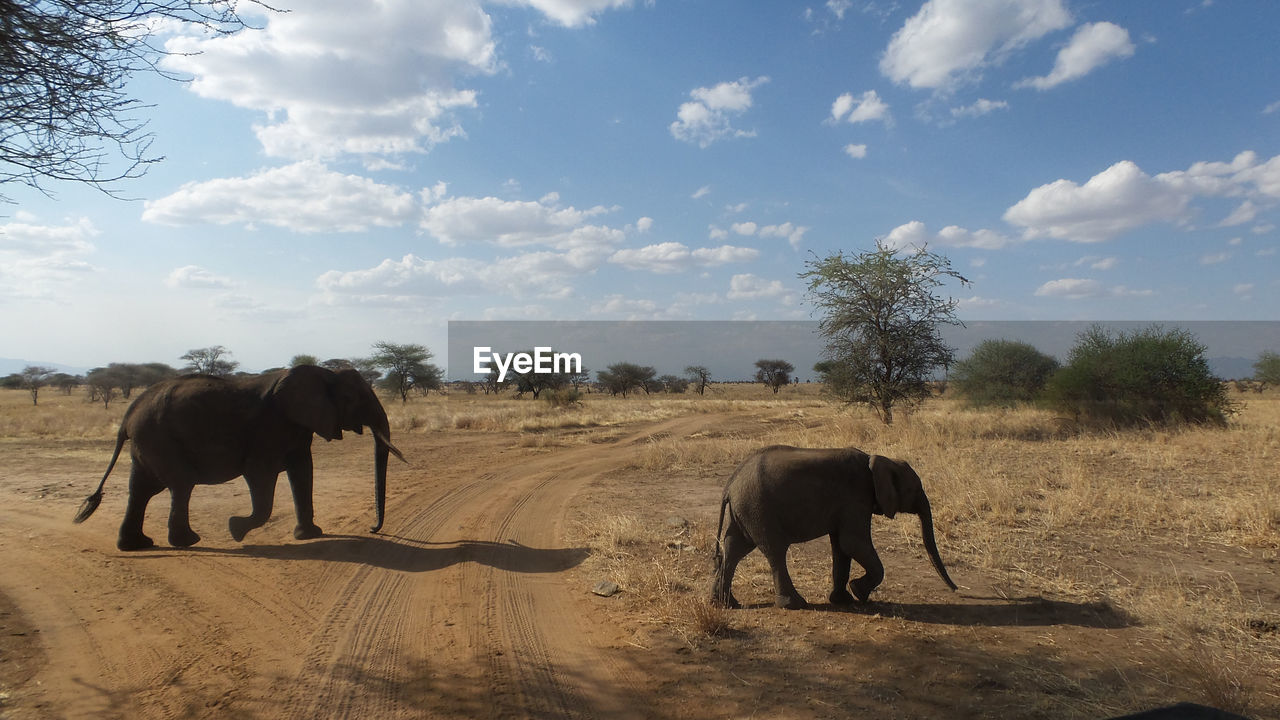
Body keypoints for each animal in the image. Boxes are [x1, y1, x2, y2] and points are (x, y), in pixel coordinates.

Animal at [74, 363, 404, 548]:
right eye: (355, 398)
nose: (372, 529)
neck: (323, 373)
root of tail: (128, 416)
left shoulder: (297, 425)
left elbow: (303, 471)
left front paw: (309, 535)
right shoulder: (269, 427)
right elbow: (260, 475)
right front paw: (236, 529)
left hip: (149, 443)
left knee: (141, 489)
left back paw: (137, 546)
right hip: (160, 439)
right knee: (180, 484)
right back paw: (187, 542)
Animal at [716, 445, 957, 607]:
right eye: (914, 490)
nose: (955, 590)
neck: (878, 459)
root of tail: (731, 484)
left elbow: (841, 548)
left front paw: (843, 600)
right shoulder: (856, 497)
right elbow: (852, 543)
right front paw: (859, 592)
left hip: (746, 511)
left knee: (734, 549)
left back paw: (725, 604)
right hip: (758, 508)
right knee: (774, 551)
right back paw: (795, 604)